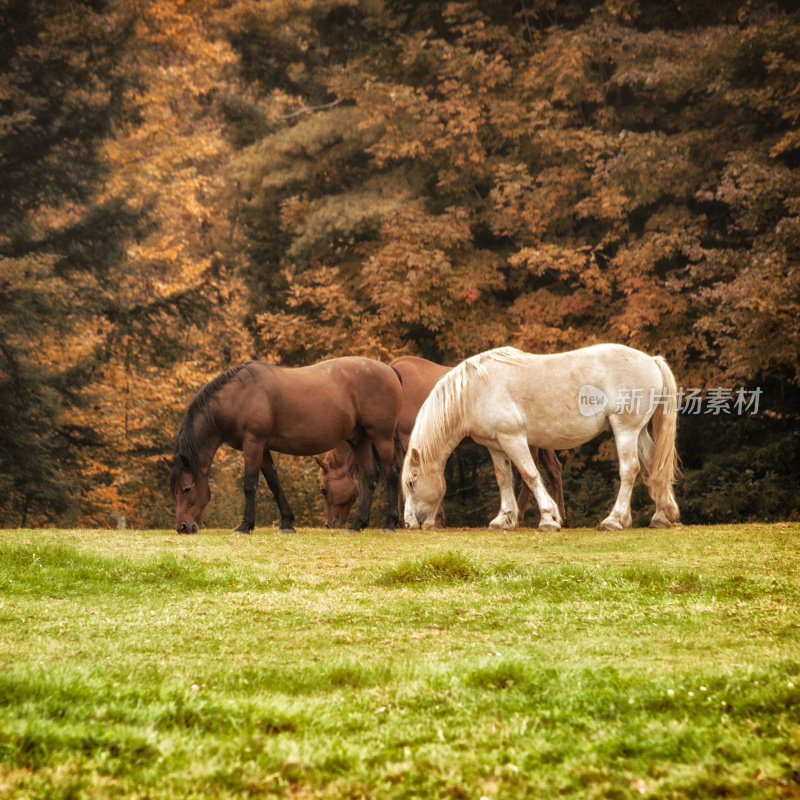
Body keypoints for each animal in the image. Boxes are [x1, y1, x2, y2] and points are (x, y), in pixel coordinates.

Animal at [166, 358, 404, 536]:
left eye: (187, 489)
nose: (183, 527)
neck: (238, 396)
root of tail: (390, 370)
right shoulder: (262, 448)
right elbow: (274, 483)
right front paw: (287, 523)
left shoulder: (253, 444)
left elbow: (250, 485)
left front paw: (244, 526)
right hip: (360, 440)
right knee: (370, 476)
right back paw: (357, 525)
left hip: (382, 437)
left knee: (392, 473)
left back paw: (389, 524)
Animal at [316, 354, 564, 524]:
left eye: (324, 489)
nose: (330, 524)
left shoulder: (407, 440)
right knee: (554, 469)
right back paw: (559, 513)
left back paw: (522, 516)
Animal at [404, 342, 680, 532]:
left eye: (411, 483)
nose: (409, 523)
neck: (475, 390)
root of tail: (652, 360)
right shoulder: (497, 446)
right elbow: (503, 479)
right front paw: (504, 519)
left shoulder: (513, 438)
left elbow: (530, 474)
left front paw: (549, 518)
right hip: (638, 431)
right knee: (653, 465)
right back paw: (661, 516)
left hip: (625, 431)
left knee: (630, 469)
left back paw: (614, 520)